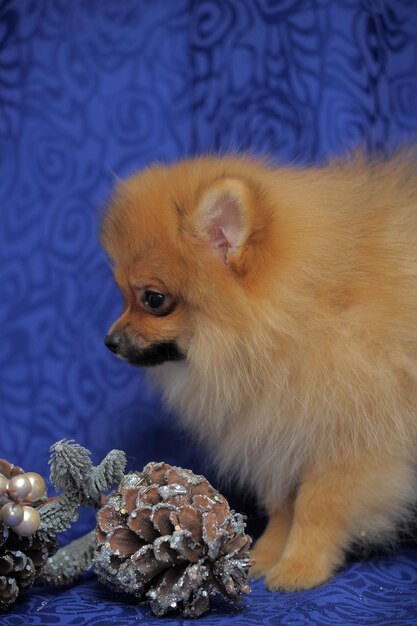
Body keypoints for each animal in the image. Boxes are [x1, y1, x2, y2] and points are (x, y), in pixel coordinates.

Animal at [100, 152, 416, 588]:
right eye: (121, 294)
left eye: (154, 299)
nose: (109, 341)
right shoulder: (275, 434)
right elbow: (282, 506)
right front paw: (264, 554)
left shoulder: (348, 446)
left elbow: (317, 508)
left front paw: (301, 565)